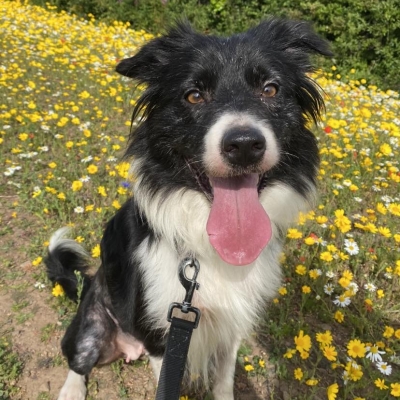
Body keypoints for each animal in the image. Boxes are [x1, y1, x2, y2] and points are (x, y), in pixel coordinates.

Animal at [45, 19, 330, 400]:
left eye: (270, 89)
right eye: (193, 95)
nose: (244, 145)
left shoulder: (231, 324)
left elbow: (224, 379)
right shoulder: (160, 334)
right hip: (92, 322)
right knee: (77, 358)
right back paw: (71, 389)